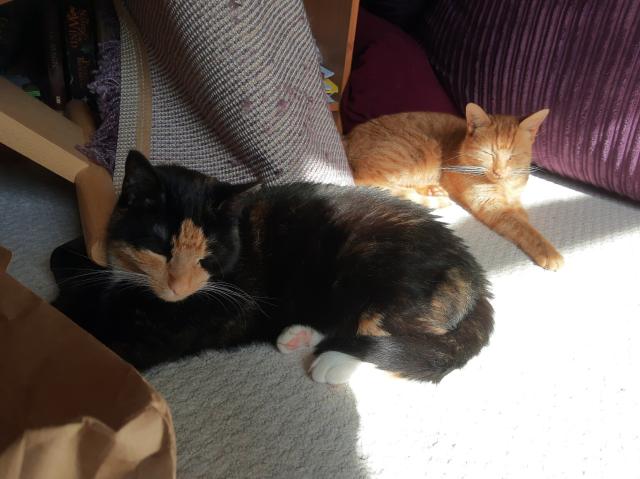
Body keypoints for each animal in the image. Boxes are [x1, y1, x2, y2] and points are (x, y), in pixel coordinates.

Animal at [52, 152, 492, 384]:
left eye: (208, 253)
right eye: (160, 246)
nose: (177, 286)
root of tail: (475, 273)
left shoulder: (204, 315)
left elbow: (116, 343)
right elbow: (68, 263)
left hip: (380, 274)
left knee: (405, 341)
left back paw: (334, 362)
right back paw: (297, 336)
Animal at [344, 103, 564, 272]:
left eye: (513, 156)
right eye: (488, 153)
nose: (499, 171)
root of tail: (347, 139)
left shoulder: (514, 199)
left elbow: (523, 217)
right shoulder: (490, 204)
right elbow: (522, 227)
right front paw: (549, 252)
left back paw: (433, 189)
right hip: (423, 150)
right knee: (370, 181)